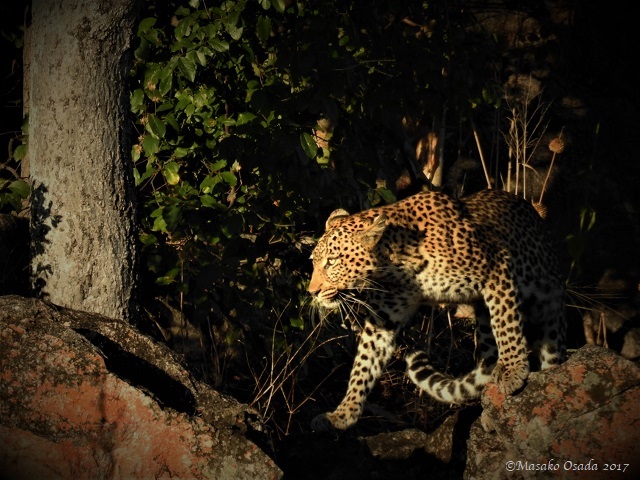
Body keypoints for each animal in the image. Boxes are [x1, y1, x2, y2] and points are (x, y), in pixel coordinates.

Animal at [308, 188, 566, 431]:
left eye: (332, 262)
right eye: (313, 261)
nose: (312, 292)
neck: (395, 266)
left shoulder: (497, 268)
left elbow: (506, 324)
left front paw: (513, 370)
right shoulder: (384, 319)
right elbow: (364, 363)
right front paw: (342, 414)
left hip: (550, 311)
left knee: (550, 350)